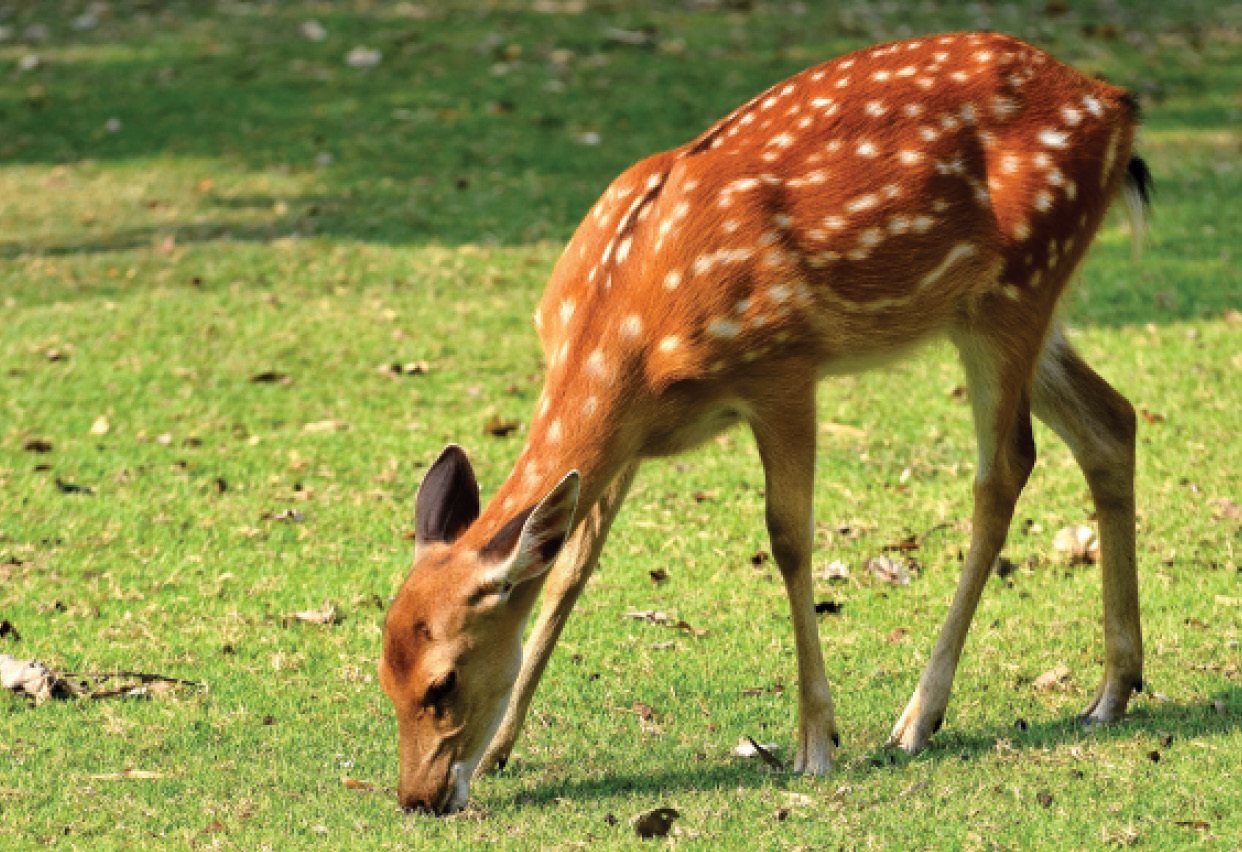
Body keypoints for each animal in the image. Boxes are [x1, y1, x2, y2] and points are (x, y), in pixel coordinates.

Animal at [375, 31, 1142, 814]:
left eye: (443, 683)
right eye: (383, 674)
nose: (417, 797)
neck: (629, 337)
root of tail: (1114, 105)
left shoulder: (784, 368)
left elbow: (790, 539)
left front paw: (815, 744)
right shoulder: (630, 439)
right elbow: (571, 568)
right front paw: (502, 749)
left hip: (1017, 286)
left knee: (1007, 467)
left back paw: (917, 720)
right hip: (1008, 307)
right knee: (1112, 421)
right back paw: (1111, 692)